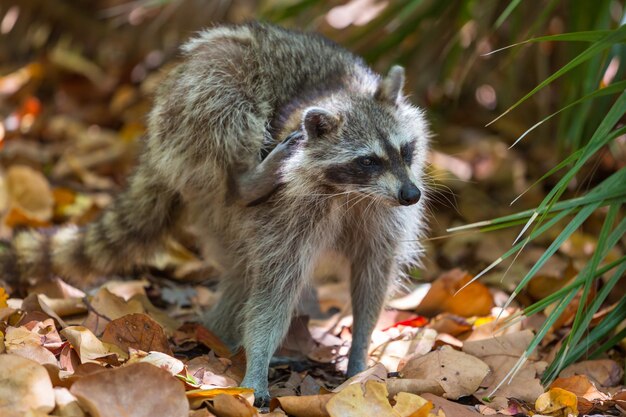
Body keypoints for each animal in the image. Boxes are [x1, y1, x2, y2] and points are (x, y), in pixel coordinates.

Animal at [1, 22, 428, 404]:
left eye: (405, 150)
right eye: (368, 160)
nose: (411, 195)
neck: (352, 193)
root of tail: (153, 147)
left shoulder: (381, 214)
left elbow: (372, 275)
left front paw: (360, 351)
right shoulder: (290, 207)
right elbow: (274, 289)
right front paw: (258, 361)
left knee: (240, 269)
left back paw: (219, 335)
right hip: (194, 113)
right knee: (227, 101)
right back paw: (245, 180)